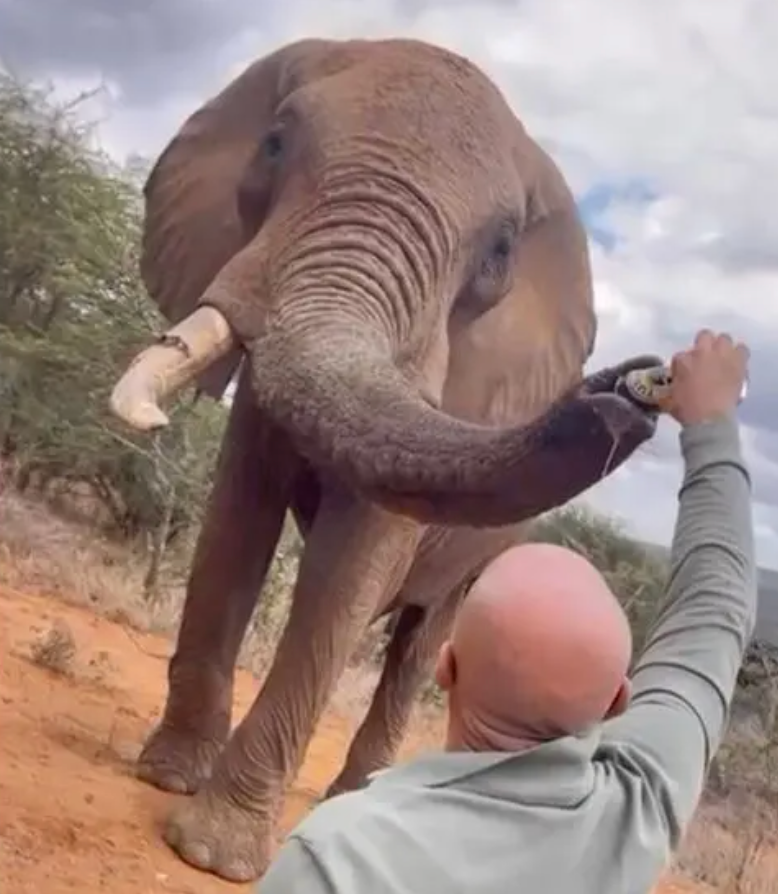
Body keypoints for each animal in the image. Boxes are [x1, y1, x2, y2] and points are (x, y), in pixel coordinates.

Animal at [109, 37, 661, 882]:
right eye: (274, 145)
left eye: (500, 251)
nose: (637, 386)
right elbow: (238, 516)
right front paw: (168, 778)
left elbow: (353, 560)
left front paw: (214, 854)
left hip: (487, 558)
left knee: (421, 643)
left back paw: (363, 794)